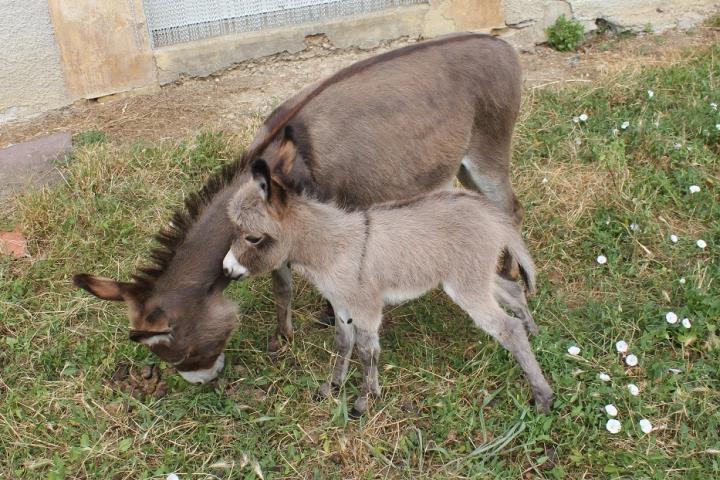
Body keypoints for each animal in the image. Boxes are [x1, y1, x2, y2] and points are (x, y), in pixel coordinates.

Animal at [225, 158, 556, 416]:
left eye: (253, 238)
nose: (227, 269)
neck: (331, 246)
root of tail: (489, 212)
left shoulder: (366, 306)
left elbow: (367, 351)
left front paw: (363, 402)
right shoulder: (342, 306)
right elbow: (344, 343)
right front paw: (334, 387)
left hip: (467, 285)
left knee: (508, 329)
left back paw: (543, 396)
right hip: (471, 277)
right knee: (513, 290)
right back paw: (535, 334)